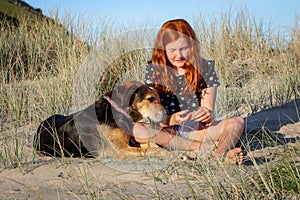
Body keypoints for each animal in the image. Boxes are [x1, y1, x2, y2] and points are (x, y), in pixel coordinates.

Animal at [33, 80, 171, 159]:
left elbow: (152, 146)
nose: (167, 115)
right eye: (150, 99)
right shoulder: (120, 150)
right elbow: (151, 150)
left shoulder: (130, 142)